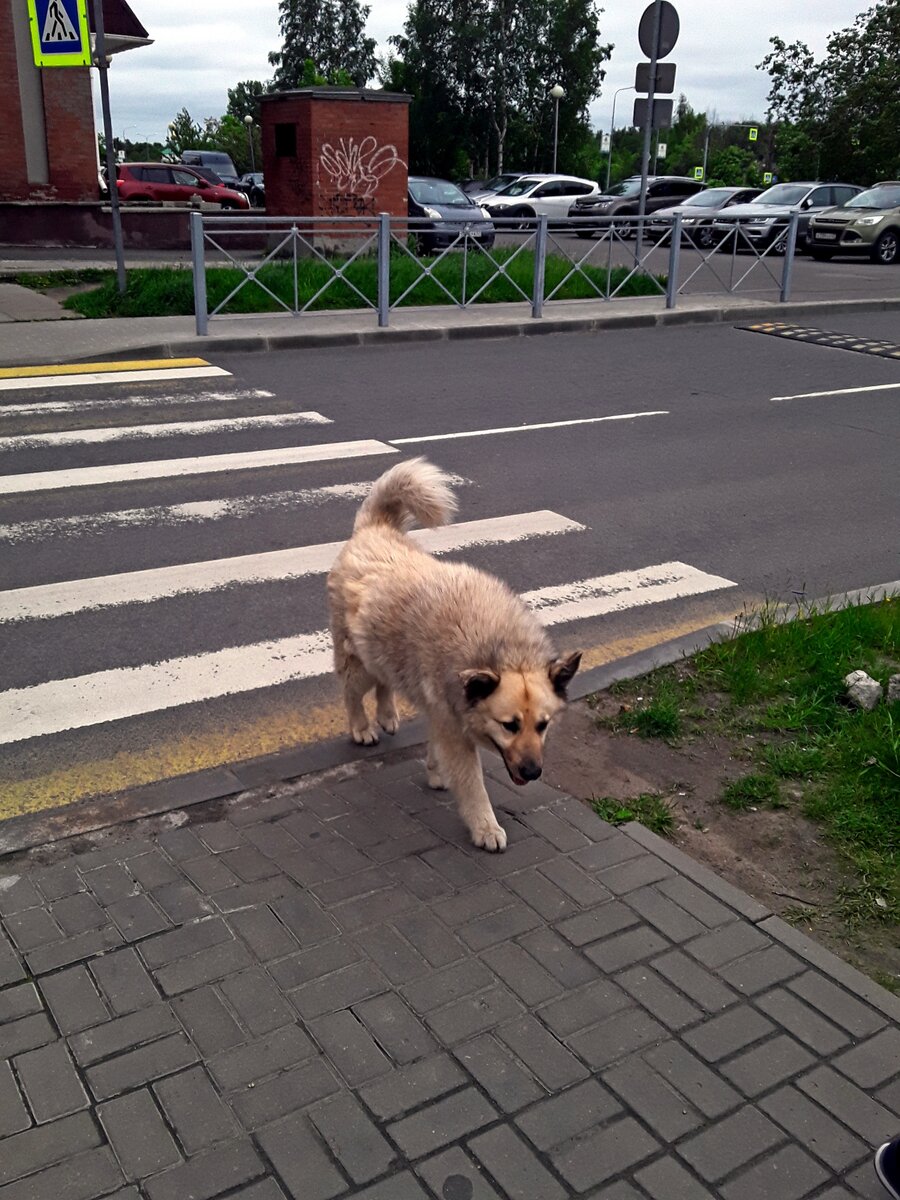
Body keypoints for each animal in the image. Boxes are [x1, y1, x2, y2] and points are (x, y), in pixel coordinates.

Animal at [328, 453, 580, 849]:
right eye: (509, 726)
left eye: (543, 725)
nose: (533, 772)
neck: (499, 648)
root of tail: (374, 529)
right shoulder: (452, 726)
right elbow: (473, 785)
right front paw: (485, 826)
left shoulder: (445, 715)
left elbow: (436, 749)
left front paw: (436, 772)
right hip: (359, 663)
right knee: (352, 694)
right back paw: (362, 727)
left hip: (382, 653)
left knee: (386, 684)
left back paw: (387, 714)